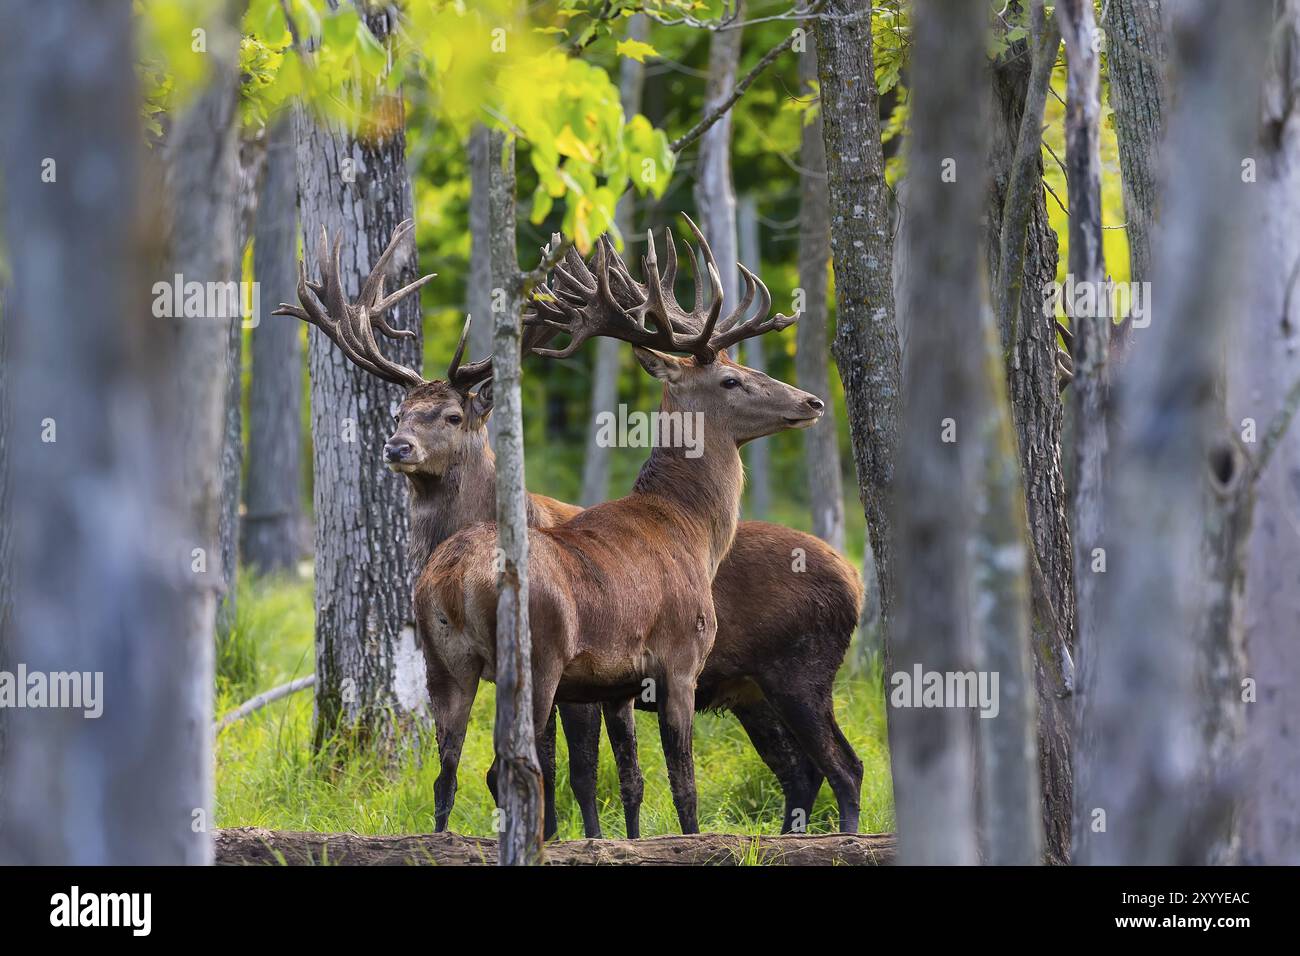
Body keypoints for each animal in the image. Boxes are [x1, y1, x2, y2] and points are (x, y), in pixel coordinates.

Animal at [274, 217, 863, 837]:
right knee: (839, 767)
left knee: (448, 774)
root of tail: (854, 576)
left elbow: (621, 778)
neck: (689, 528)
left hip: (451, 665)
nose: (812, 400)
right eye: (731, 379)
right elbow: (676, 781)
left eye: (451, 415)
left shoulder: (611, 684)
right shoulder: (676, 660)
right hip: (742, 670)